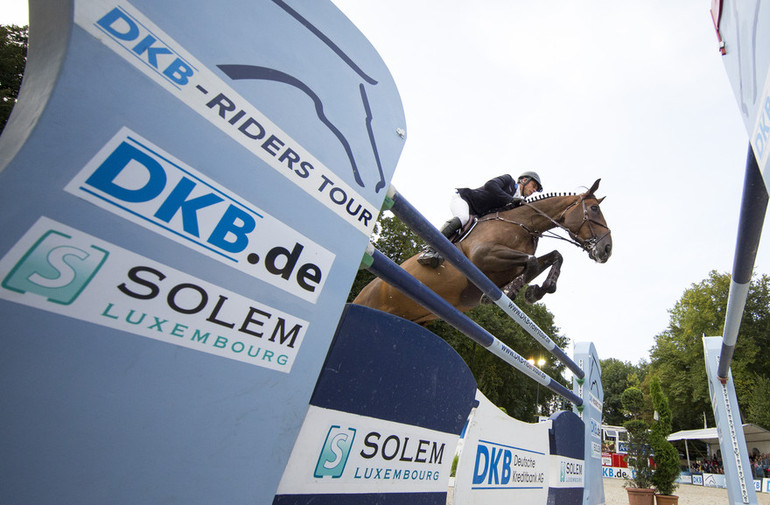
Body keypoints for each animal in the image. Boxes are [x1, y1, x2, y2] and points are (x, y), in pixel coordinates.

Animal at [354, 179, 612, 324]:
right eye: (594, 209)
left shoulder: (510, 267)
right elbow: (532, 262)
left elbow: (554, 256)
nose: (607, 249)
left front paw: (535, 291)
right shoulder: (483, 255)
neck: (523, 223)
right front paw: (508, 293)